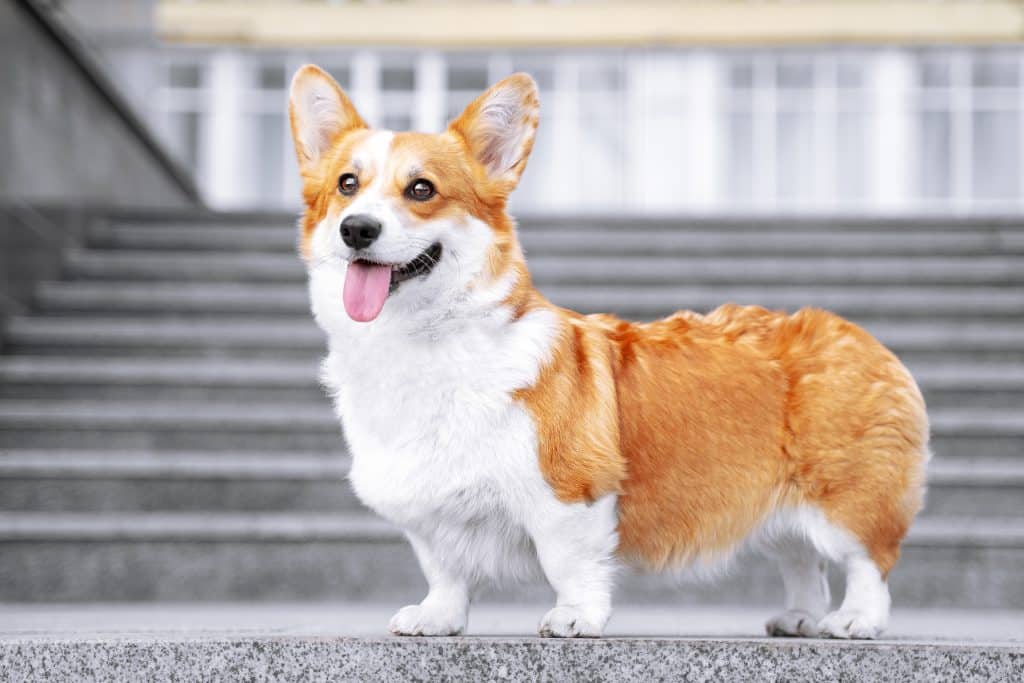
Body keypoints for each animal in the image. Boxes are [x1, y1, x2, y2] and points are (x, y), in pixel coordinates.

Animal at [286, 65, 929, 643]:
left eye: (421, 189)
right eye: (347, 185)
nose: (357, 229)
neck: (424, 340)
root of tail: (859, 336)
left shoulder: (569, 493)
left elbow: (568, 562)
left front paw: (576, 618)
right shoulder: (429, 509)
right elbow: (445, 570)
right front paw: (437, 619)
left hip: (845, 499)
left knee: (868, 563)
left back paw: (854, 621)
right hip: (780, 508)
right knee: (801, 559)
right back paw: (800, 618)